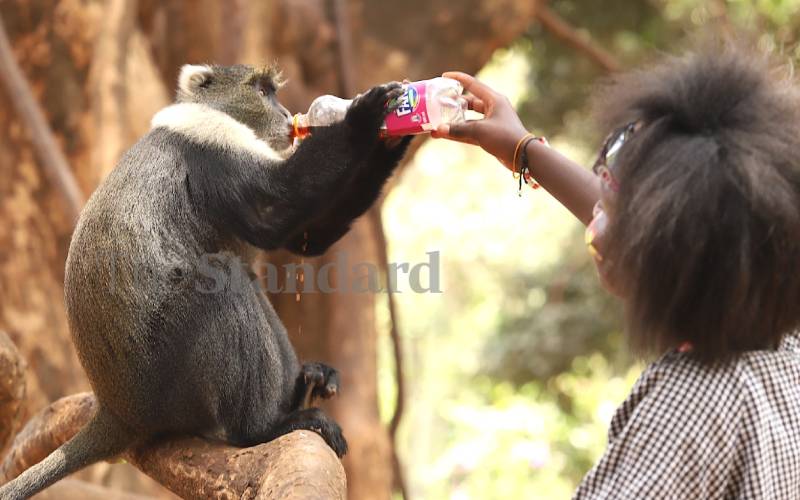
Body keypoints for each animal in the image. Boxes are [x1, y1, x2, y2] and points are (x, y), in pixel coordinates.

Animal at [0, 63, 412, 499]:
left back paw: (300, 393)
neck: (214, 113)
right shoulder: (211, 149)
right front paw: (364, 119)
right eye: (262, 92)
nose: (287, 115)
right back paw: (265, 429)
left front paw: (398, 132)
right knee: (223, 278)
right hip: (169, 382)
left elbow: (306, 235)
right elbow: (276, 209)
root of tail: (117, 411)